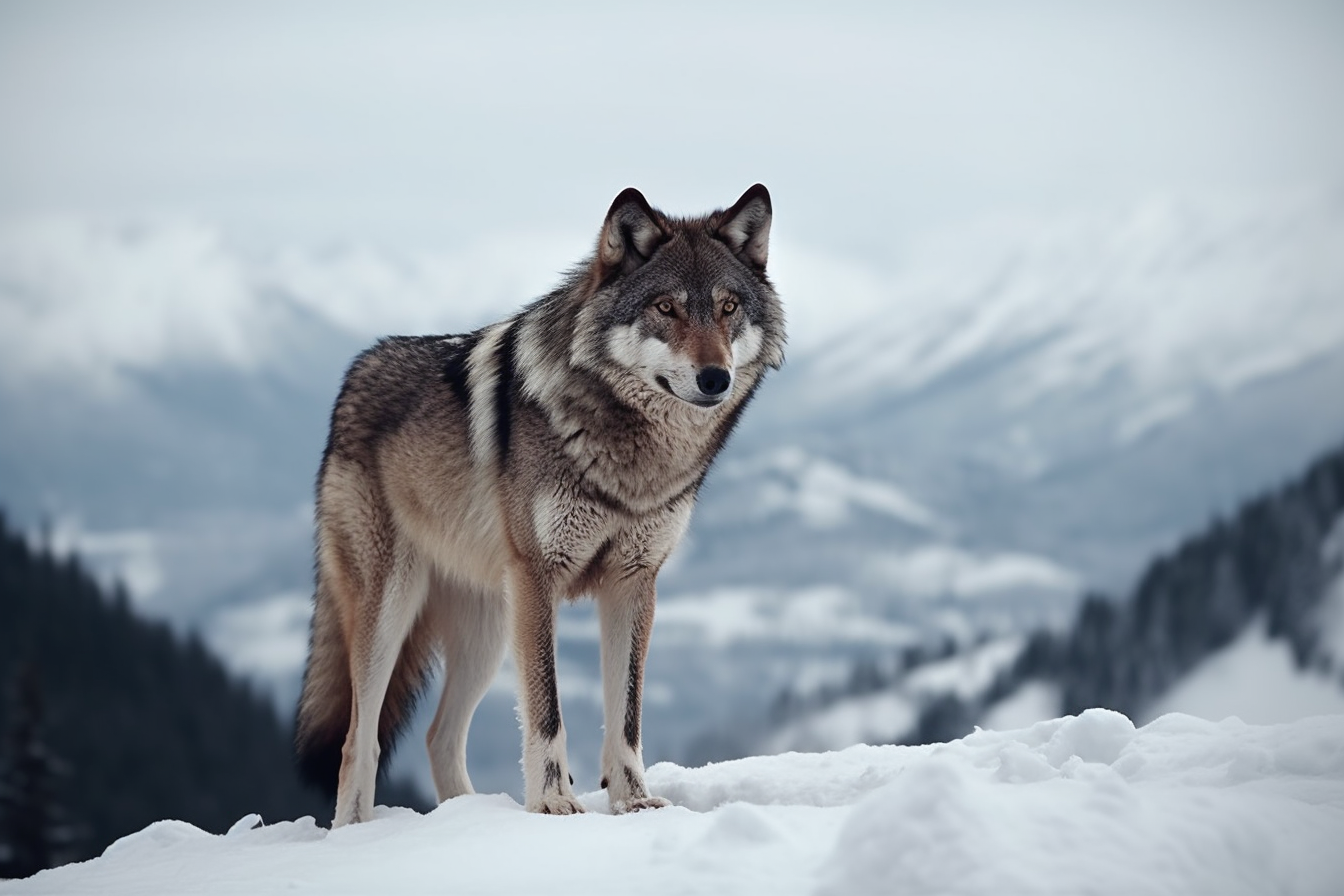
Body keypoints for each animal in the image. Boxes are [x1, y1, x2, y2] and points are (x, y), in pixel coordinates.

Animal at [288, 184, 784, 827]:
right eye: (666, 308)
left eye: (728, 307)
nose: (715, 377)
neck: (632, 461)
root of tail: (355, 372)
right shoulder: (539, 577)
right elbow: (547, 710)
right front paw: (552, 803)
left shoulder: (634, 582)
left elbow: (626, 716)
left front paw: (634, 802)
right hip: (394, 609)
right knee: (360, 739)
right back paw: (356, 831)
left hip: (491, 631)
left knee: (439, 737)